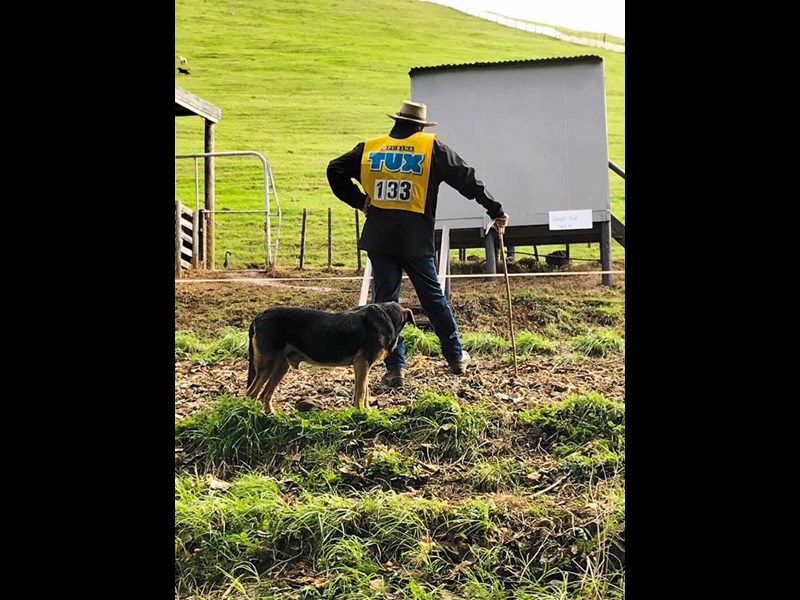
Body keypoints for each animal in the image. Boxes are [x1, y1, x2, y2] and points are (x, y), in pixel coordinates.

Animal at [247, 300, 416, 412]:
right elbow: (361, 392)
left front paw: (367, 410)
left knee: (265, 394)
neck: (388, 316)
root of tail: (258, 317)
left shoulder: (364, 366)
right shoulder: (362, 362)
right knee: (252, 393)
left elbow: (365, 390)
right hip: (268, 363)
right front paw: (361, 413)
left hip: (282, 365)